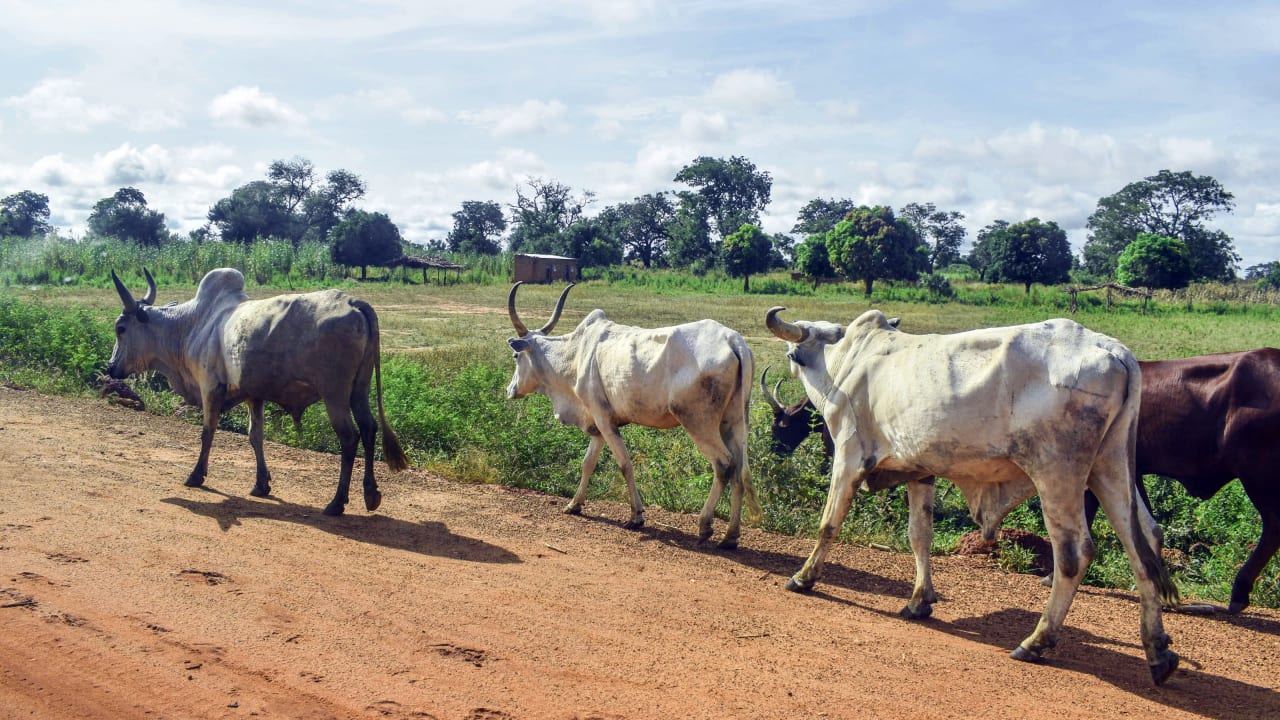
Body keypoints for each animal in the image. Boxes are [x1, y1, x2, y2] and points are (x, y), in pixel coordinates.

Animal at [110, 266, 412, 512]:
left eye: (120, 328)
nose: (111, 368)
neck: (193, 324)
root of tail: (353, 301)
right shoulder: (254, 395)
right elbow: (255, 436)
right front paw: (261, 484)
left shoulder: (210, 388)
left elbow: (207, 433)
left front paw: (196, 476)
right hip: (359, 389)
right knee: (369, 428)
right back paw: (370, 494)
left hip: (334, 394)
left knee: (349, 438)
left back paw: (337, 503)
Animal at [501, 283, 757, 545]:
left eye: (515, 356)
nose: (510, 390)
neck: (575, 354)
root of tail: (732, 339)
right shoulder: (598, 425)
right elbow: (588, 463)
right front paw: (574, 504)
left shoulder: (603, 419)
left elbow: (624, 464)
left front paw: (636, 516)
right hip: (734, 422)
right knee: (738, 468)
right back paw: (730, 536)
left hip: (697, 422)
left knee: (723, 464)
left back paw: (705, 525)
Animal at [757, 304, 1177, 681]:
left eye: (793, 354)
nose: (790, 359)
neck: (846, 361)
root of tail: (1114, 350)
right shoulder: (920, 471)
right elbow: (920, 536)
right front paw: (919, 601)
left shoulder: (848, 456)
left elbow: (829, 524)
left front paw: (804, 578)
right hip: (1111, 467)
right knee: (1143, 544)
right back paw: (1157, 651)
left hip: (1057, 472)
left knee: (1075, 554)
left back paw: (1036, 642)